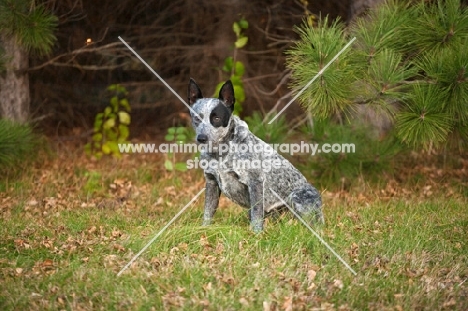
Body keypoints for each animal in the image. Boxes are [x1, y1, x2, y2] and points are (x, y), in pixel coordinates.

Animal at [188, 79, 324, 233]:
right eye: (197, 118)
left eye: (216, 118)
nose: (201, 138)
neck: (221, 153)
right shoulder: (211, 182)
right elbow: (208, 211)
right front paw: (203, 229)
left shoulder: (255, 182)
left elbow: (257, 212)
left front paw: (256, 233)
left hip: (296, 197)